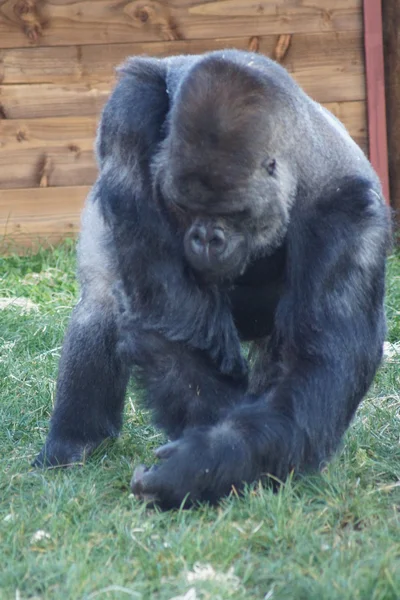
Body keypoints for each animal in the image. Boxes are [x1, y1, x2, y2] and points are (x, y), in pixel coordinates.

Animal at [34, 49, 390, 508]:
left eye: (234, 212)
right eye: (184, 207)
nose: (206, 237)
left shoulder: (349, 218)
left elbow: (315, 365)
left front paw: (202, 462)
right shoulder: (128, 120)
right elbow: (169, 319)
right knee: (102, 301)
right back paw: (75, 442)